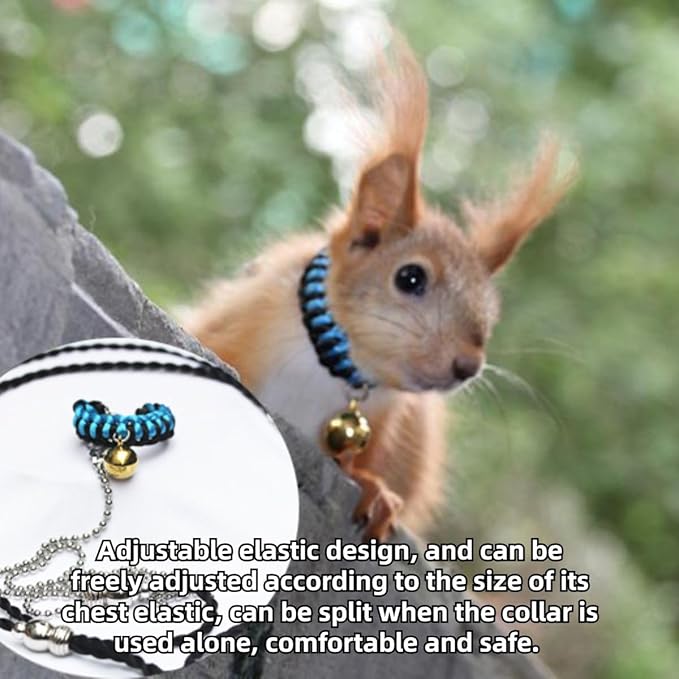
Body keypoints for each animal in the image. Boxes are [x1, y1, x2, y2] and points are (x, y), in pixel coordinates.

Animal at [184, 37, 574, 542]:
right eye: (410, 278)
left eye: (493, 309)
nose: (468, 366)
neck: (336, 372)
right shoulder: (239, 329)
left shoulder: (388, 421)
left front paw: (374, 490)